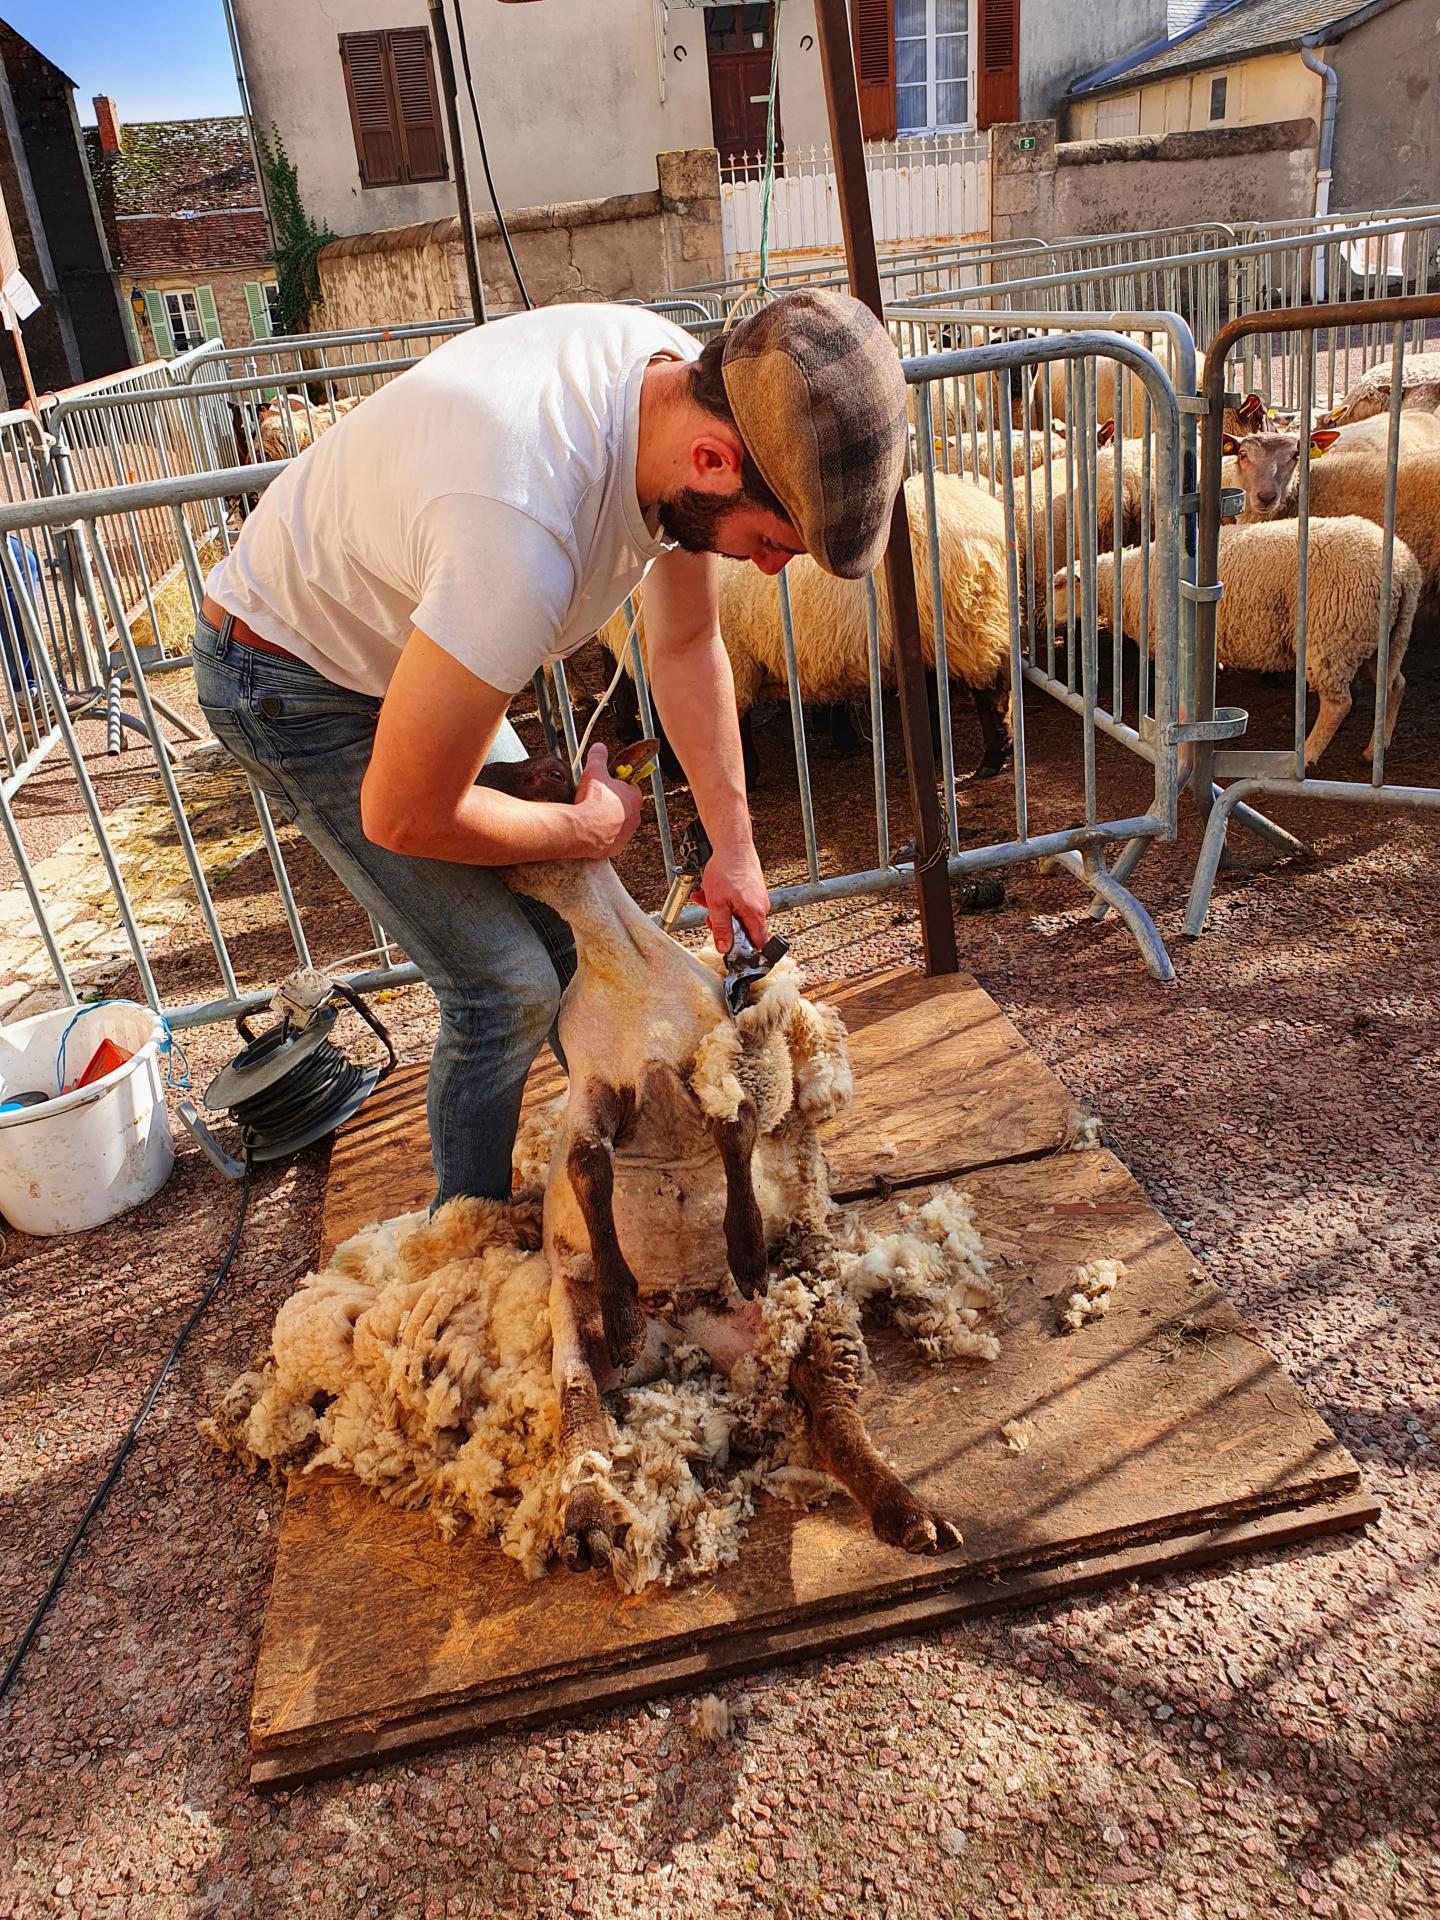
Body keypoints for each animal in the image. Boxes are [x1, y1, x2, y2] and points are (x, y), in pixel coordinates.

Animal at [1052, 526, 1428, 771]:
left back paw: (1307, 755)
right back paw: (1376, 748)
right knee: (1395, 685)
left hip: (1332, 636)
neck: (1126, 581)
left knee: (1339, 704)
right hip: (1382, 637)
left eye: (1059, 586)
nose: (1050, 618)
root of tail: (1404, 570)